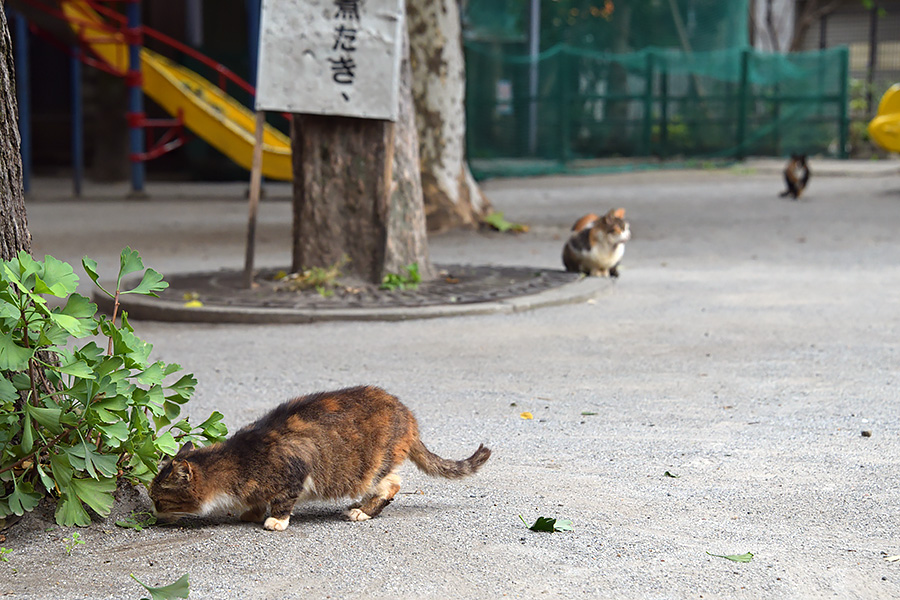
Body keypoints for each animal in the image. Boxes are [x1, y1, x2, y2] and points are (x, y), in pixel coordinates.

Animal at [152, 384, 496, 528]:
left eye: (158, 499)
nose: (153, 514)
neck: (238, 459)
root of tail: (408, 415)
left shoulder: (295, 467)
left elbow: (283, 500)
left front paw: (275, 520)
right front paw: (252, 511)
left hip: (369, 469)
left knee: (391, 484)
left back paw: (362, 512)